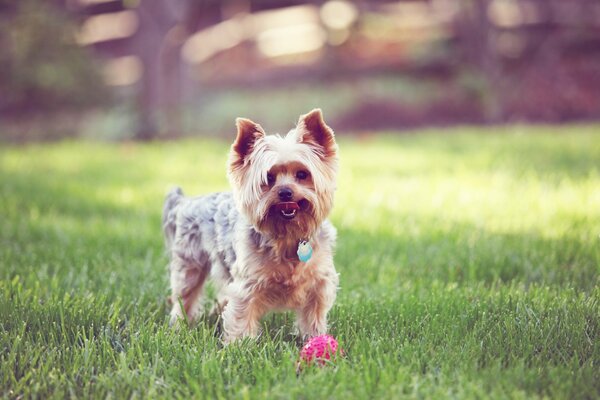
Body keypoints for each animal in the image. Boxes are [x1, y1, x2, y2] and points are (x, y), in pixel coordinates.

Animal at [162, 109, 340, 344]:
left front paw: (316, 339)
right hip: (189, 264)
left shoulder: (318, 283)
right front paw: (239, 346)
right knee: (185, 297)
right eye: (268, 177)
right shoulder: (246, 285)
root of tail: (185, 202)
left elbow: (314, 316)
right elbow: (241, 316)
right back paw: (179, 326)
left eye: (303, 174)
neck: (287, 234)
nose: (285, 192)